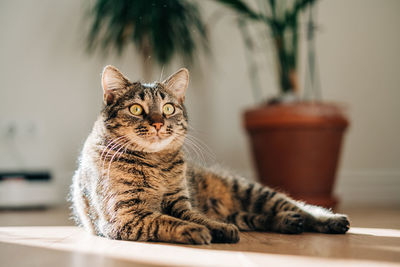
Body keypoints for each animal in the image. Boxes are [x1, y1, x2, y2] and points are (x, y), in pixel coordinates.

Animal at [71, 66, 350, 245]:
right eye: (136, 109)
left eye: (168, 108)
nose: (159, 123)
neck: (156, 163)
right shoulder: (126, 215)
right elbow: (164, 221)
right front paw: (198, 231)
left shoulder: (179, 201)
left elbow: (194, 216)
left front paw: (214, 228)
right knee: (255, 217)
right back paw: (287, 222)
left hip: (252, 191)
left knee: (301, 207)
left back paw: (330, 220)